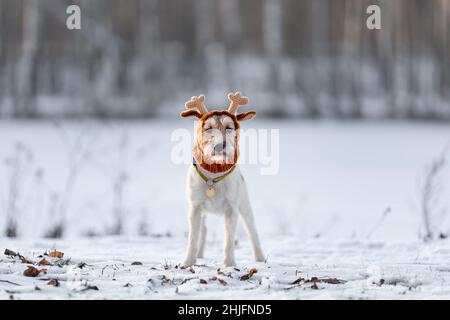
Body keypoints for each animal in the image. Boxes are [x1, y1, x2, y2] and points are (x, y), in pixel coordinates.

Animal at [181, 91, 266, 266]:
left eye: (229, 127)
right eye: (208, 128)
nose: (220, 146)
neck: (213, 176)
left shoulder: (231, 210)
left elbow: (229, 239)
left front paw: (229, 264)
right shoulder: (195, 208)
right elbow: (193, 237)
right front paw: (188, 262)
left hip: (245, 205)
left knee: (252, 230)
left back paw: (260, 256)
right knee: (203, 230)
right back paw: (199, 254)